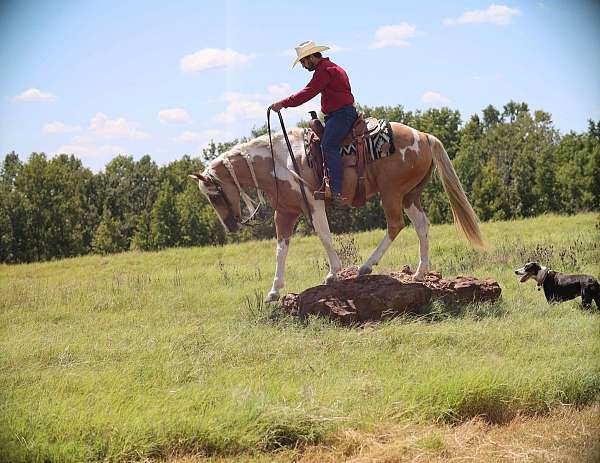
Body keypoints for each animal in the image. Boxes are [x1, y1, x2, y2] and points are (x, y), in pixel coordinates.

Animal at [190, 120, 486, 300]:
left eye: (214, 194)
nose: (230, 226)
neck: (280, 161)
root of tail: (423, 135)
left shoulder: (313, 203)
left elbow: (324, 235)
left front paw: (333, 273)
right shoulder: (285, 212)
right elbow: (281, 249)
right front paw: (274, 291)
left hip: (392, 193)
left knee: (395, 225)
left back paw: (366, 267)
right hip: (410, 195)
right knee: (421, 225)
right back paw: (420, 272)